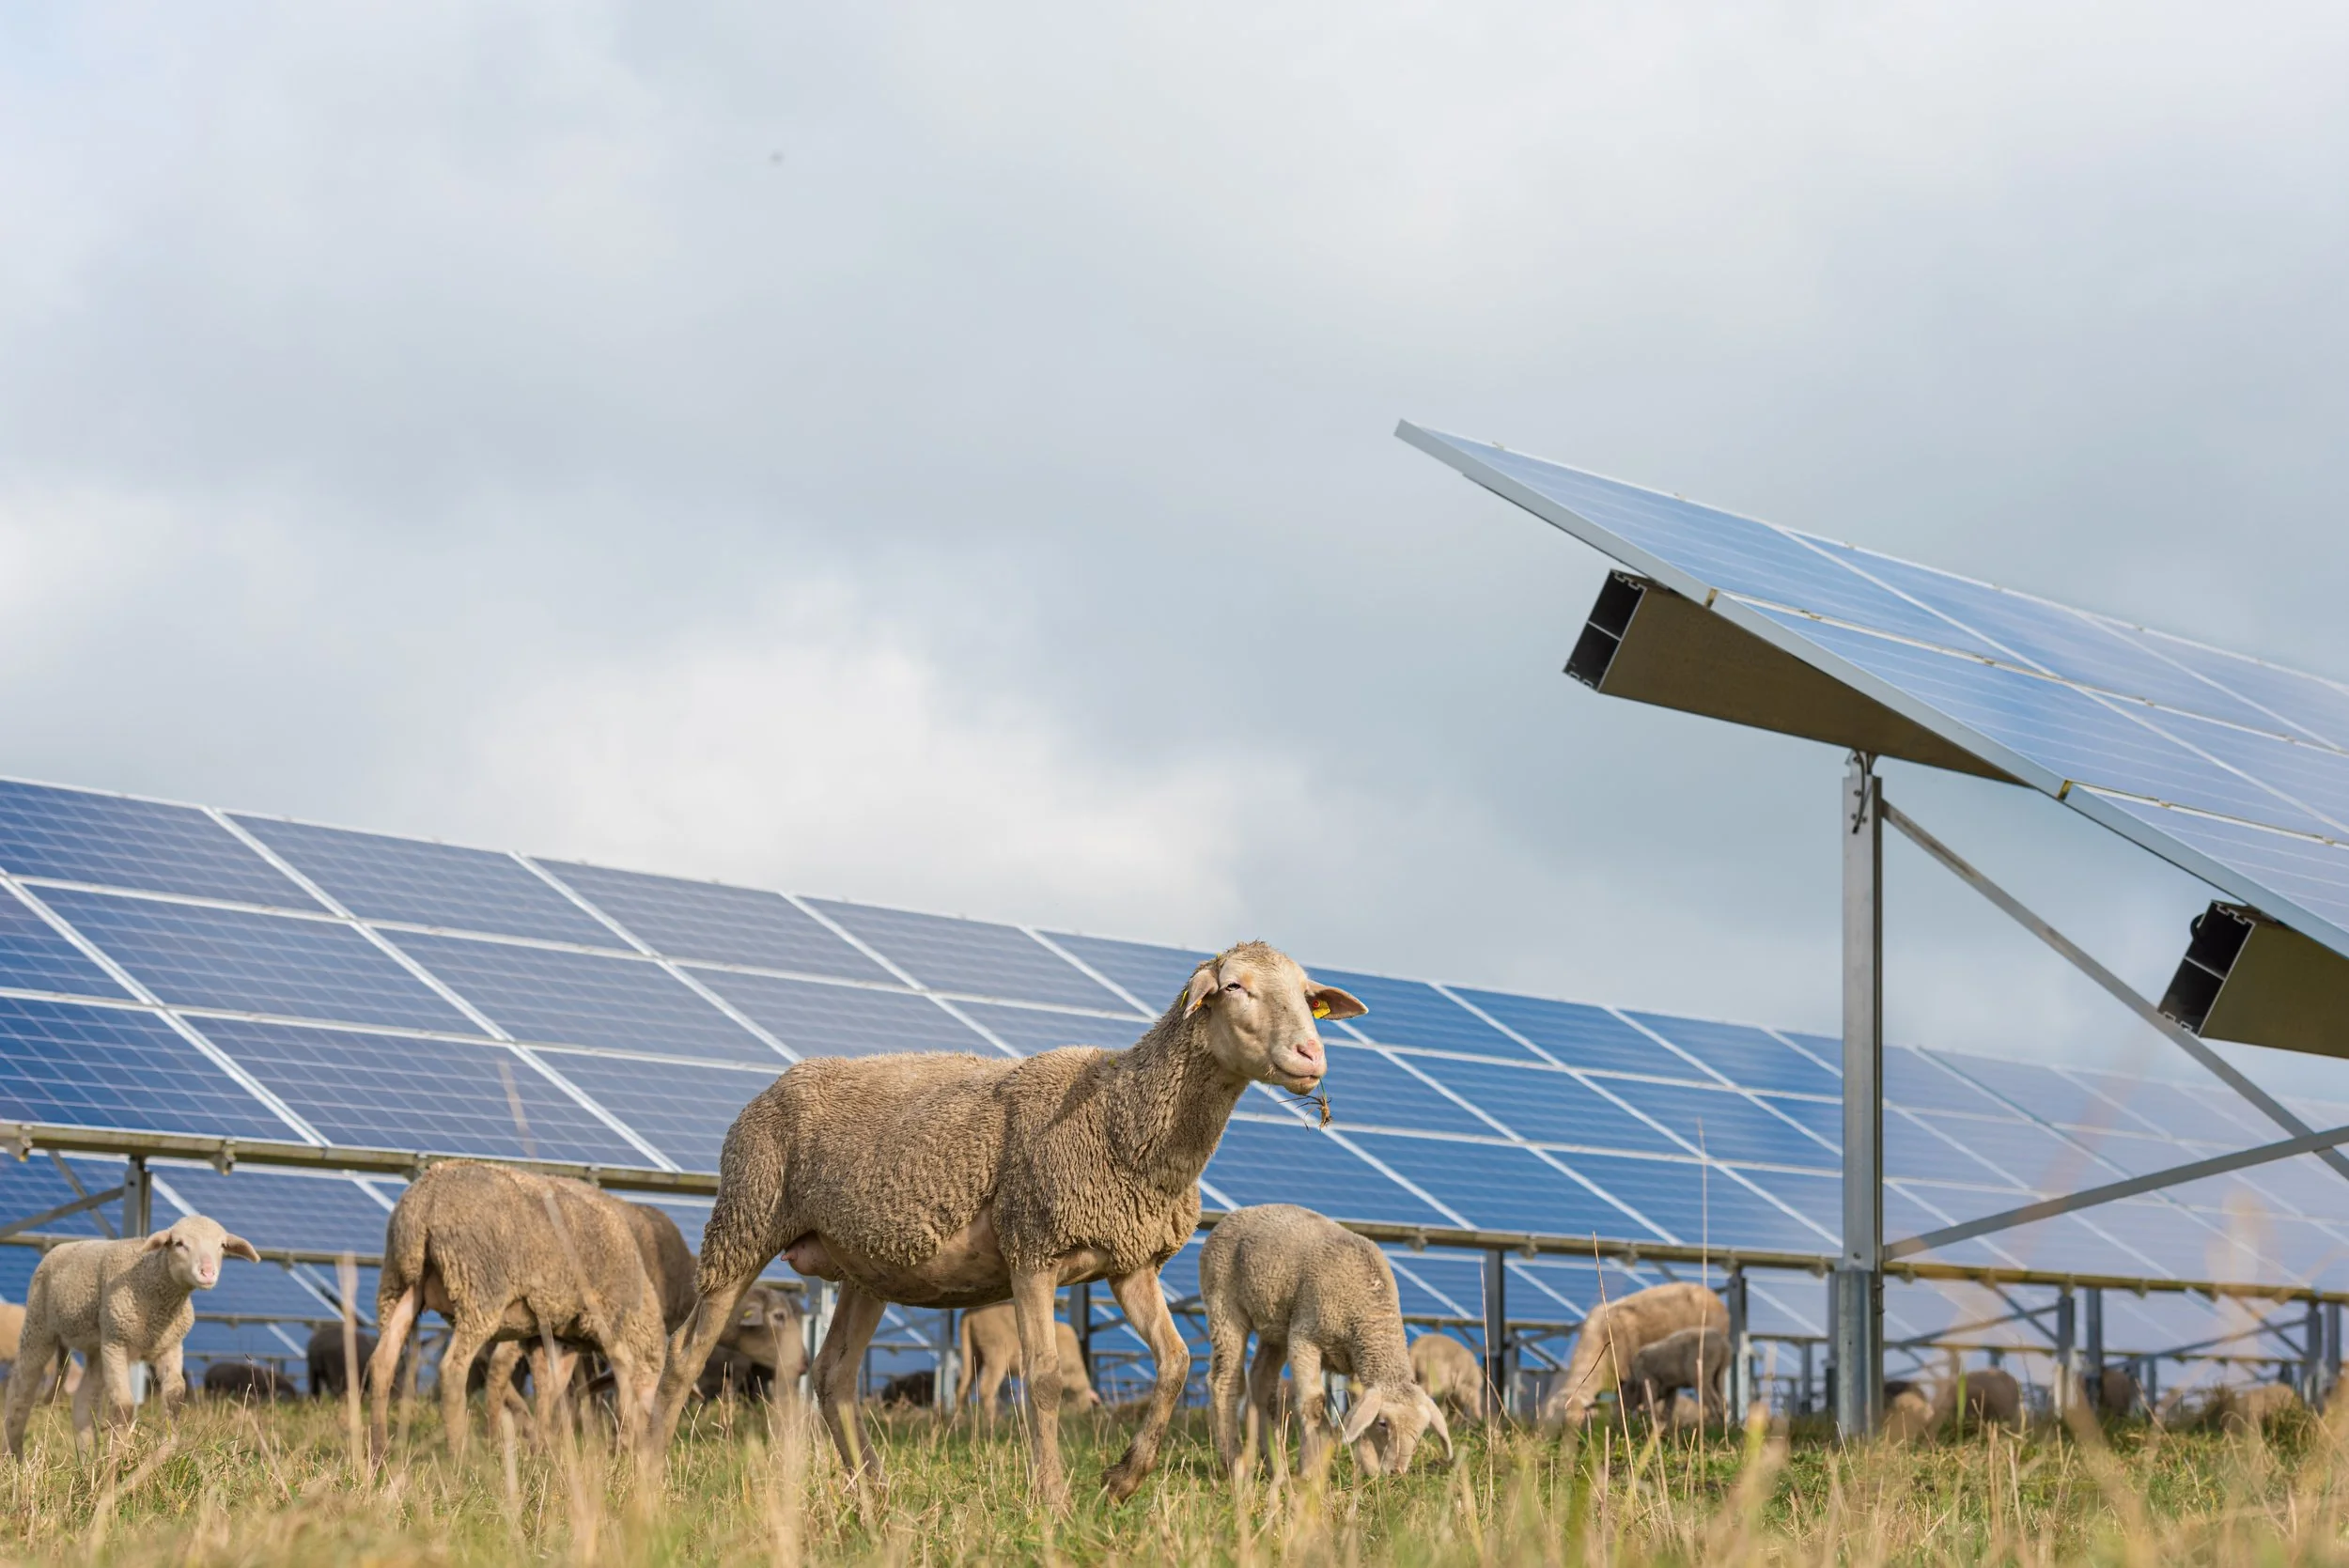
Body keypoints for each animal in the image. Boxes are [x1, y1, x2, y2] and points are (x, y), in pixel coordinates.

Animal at [3, 1214, 259, 1456]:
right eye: (179, 1243)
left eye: (222, 1245)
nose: (207, 1272)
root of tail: (62, 1246)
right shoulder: (117, 1343)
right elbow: (124, 1406)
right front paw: (116, 1461)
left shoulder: (171, 1346)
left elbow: (175, 1397)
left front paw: (164, 1452)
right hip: (39, 1327)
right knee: (19, 1394)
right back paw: (14, 1457)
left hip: (97, 1348)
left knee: (83, 1405)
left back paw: (86, 1463)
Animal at [364, 1161, 668, 1460]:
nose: (642, 1452)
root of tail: (426, 1199)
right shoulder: (608, 1324)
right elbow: (612, 1386)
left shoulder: (552, 1336)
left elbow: (550, 1388)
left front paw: (543, 1447)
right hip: (479, 1289)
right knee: (451, 1369)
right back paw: (459, 1455)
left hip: (398, 1283)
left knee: (383, 1361)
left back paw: (379, 1452)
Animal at [953, 1301, 1100, 1420]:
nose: (1073, 1417)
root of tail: (970, 1312)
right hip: (996, 1350)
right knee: (986, 1387)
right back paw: (993, 1420)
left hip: (972, 1351)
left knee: (963, 1384)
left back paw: (959, 1420)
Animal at [1200, 1203, 1452, 1481]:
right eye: (1383, 1424)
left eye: (1420, 1432)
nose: (1397, 1472)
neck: (1371, 1315)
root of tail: (1243, 1211)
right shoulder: (1304, 1337)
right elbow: (1314, 1403)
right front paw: (1310, 1469)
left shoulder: (1355, 1358)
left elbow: (1355, 1408)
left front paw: (1368, 1467)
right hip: (1224, 1301)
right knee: (1225, 1380)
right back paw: (1234, 1463)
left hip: (1275, 1325)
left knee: (1262, 1386)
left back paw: (1277, 1467)